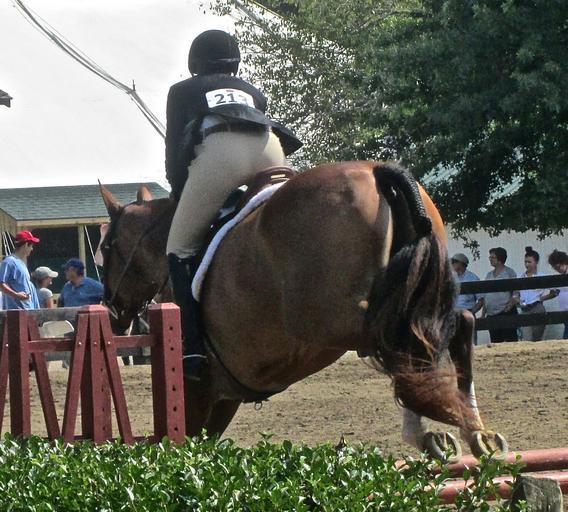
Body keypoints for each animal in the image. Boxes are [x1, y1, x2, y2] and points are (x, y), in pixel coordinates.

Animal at [99, 161, 507, 461]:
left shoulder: (197, 390)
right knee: (445, 329)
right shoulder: (224, 394)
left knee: (399, 338)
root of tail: (377, 170)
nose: (114, 311)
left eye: (106, 248)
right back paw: (472, 433)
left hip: (336, 318)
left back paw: (436, 431)